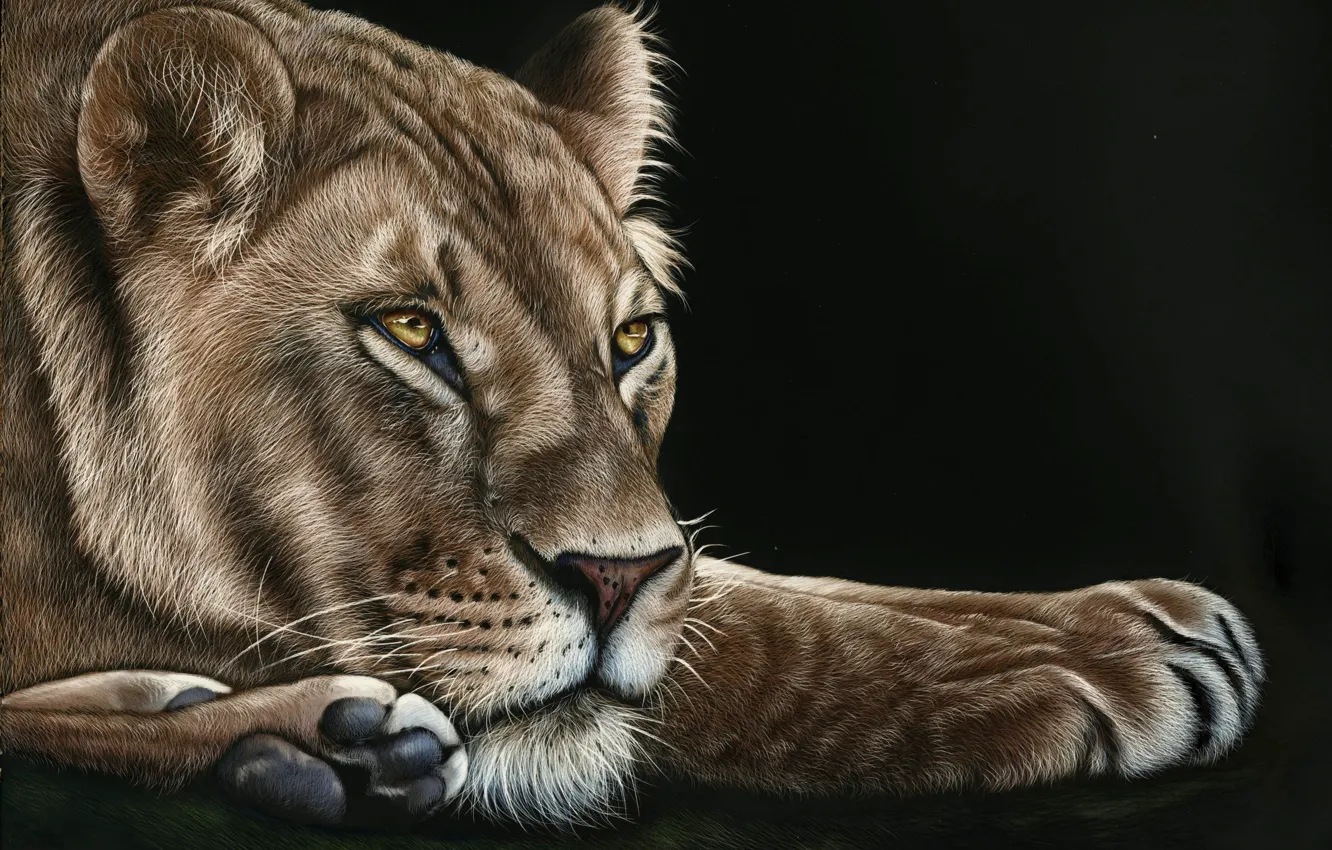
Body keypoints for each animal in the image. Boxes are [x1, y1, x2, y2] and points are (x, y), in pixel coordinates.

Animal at [1, 0, 1263, 829]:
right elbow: (747, 639)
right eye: (412, 330)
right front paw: (1106, 664)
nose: (613, 582)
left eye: (629, 342)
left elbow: (738, 594)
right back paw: (332, 741)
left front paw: (1118, 620)